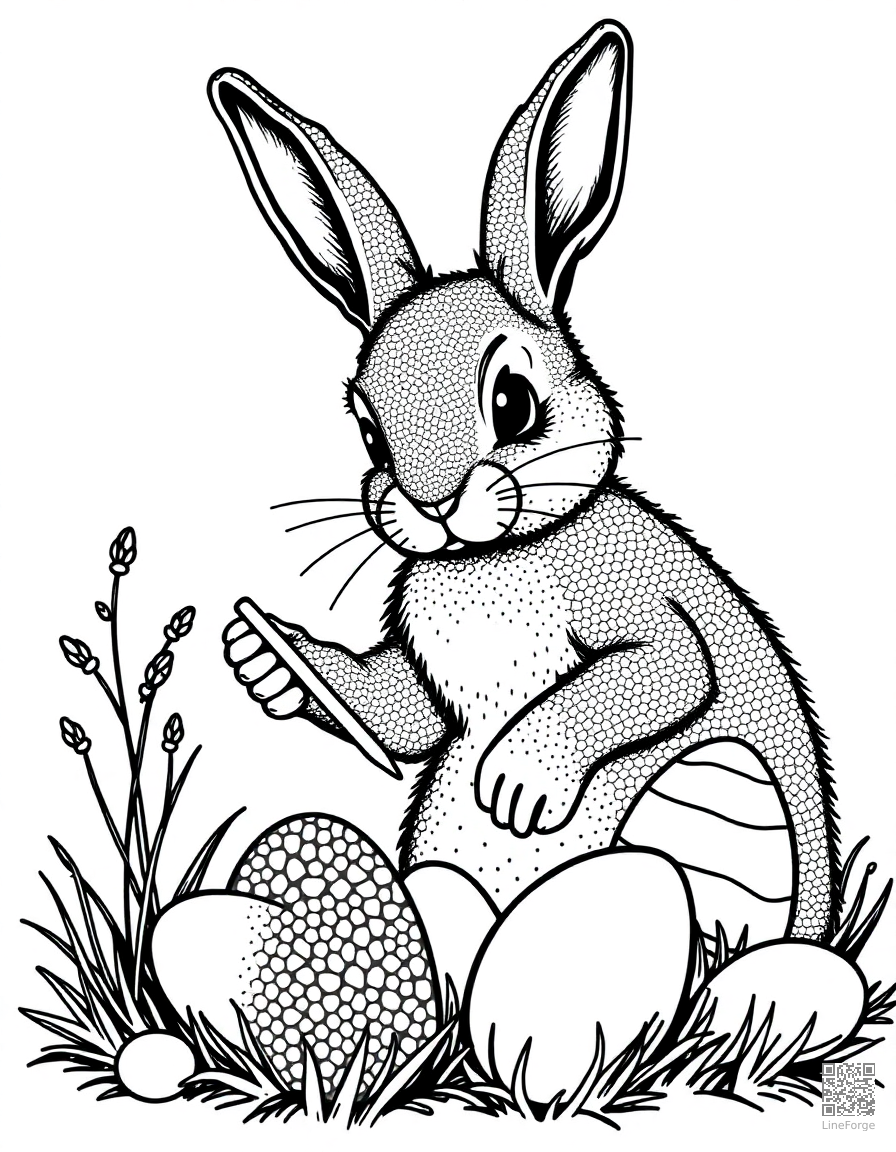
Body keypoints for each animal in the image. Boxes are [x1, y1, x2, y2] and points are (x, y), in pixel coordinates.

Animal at [210, 20, 838, 944]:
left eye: (512, 401)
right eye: (368, 426)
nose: (432, 504)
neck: (492, 556)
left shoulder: (635, 602)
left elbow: (664, 668)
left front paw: (517, 783)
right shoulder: (427, 681)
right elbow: (395, 707)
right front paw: (270, 660)